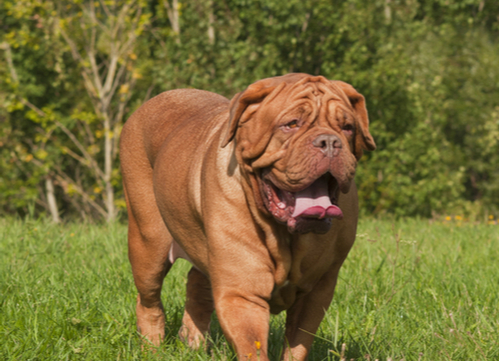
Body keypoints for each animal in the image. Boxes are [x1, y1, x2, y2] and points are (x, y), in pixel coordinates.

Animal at [118, 71, 376, 358]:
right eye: (291, 124)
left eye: (347, 127)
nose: (329, 142)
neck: (286, 235)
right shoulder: (242, 293)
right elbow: (253, 347)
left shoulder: (316, 292)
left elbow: (296, 346)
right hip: (148, 244)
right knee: (148, 301)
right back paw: (152, 347)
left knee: (197, 285)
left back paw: (193, 342)